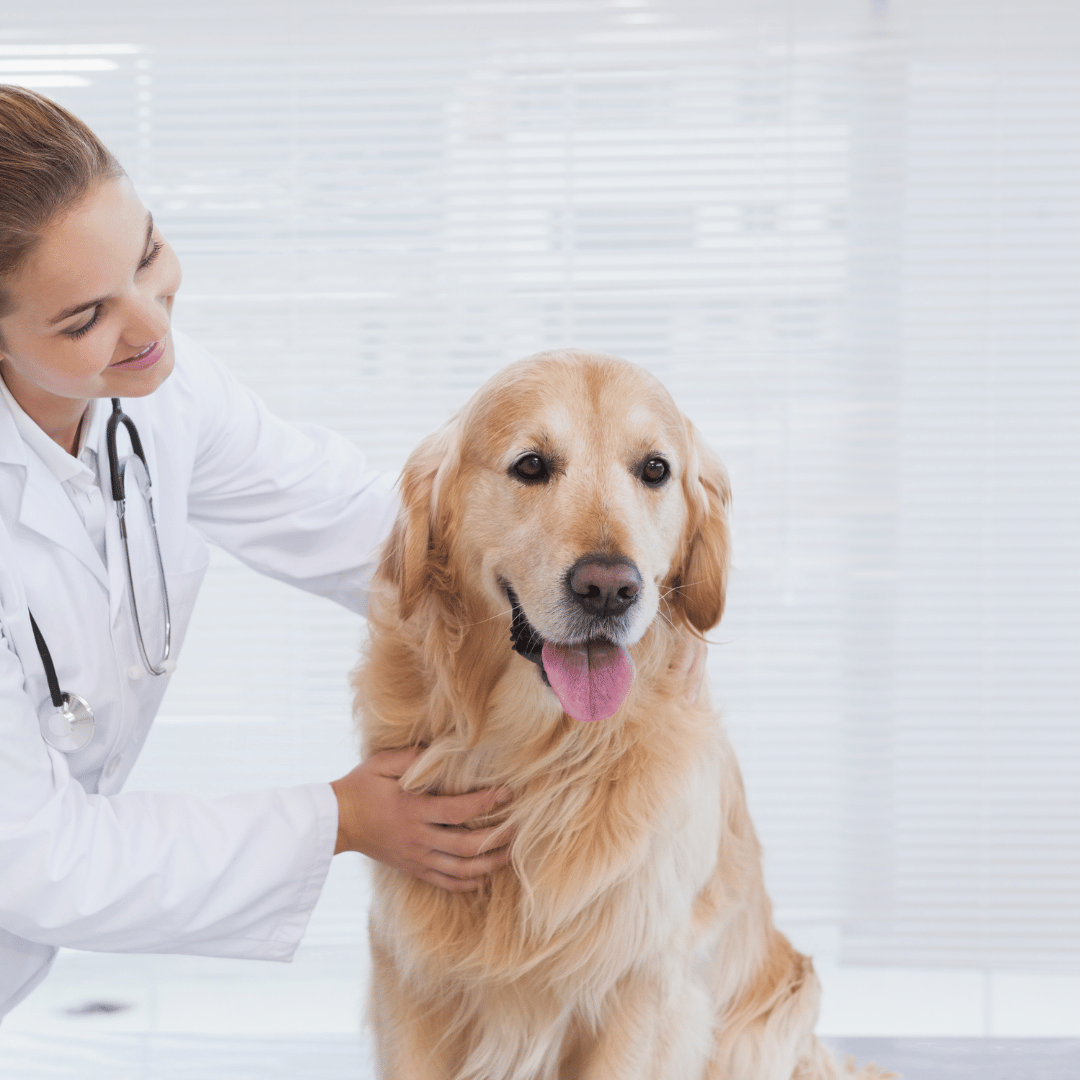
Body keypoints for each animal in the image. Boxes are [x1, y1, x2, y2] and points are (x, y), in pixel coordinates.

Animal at [349, 349, 889, 1075]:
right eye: (531, 465)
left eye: (655, 469)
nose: (608, 587)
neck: (539, 758)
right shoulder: (410, 975)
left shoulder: (641, 987)